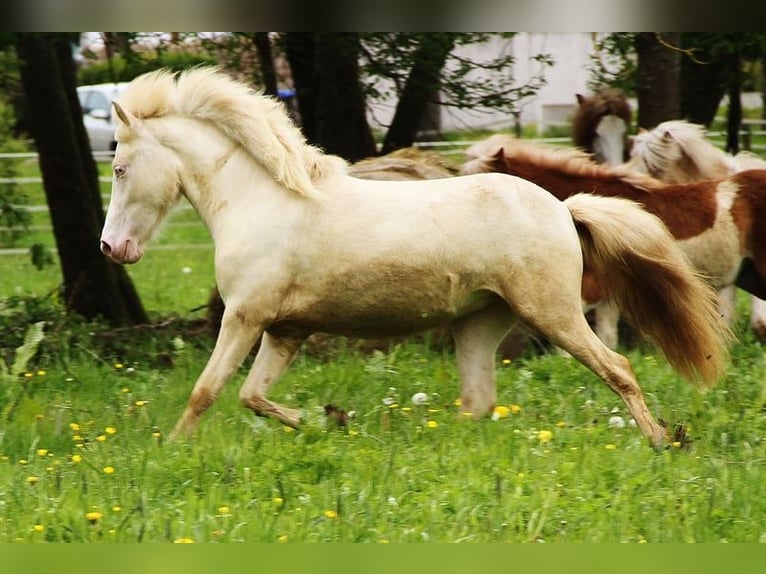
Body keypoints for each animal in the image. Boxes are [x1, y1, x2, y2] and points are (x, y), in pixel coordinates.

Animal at [102, 70, 732, 450]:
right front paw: (327, 420)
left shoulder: (244, 318)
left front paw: (172, 452)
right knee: (477, 403)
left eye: (120, 168)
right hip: (480, 324)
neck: (265, 200)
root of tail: (562, 206)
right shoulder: (285, 331)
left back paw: (661, 440)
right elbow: (251, 396)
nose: (112, 248)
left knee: (616, 368)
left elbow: (205, 393)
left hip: (552, 313)